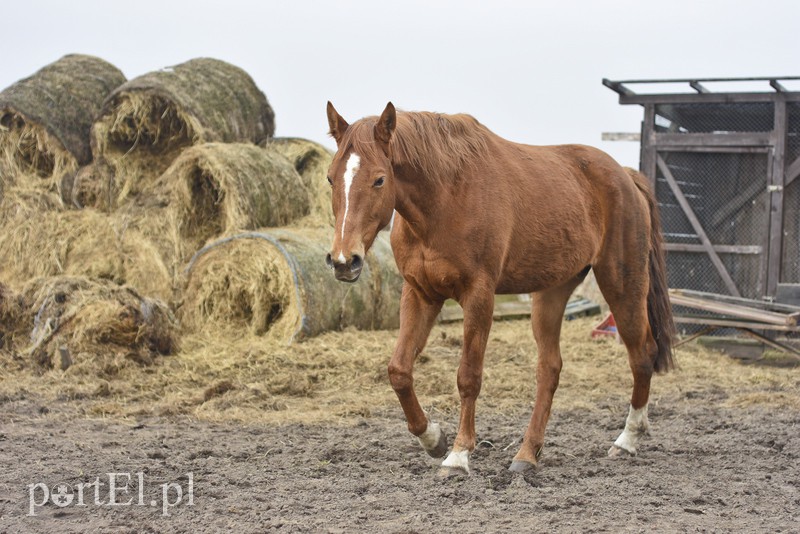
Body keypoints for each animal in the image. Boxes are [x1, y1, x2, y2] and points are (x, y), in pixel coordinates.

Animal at [322, 100, 672, 474]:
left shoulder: (479, 296)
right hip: (552, 292)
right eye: (330, 177)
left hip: (622, 284)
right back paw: (527, 453)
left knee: (642, 354)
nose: (344, 260)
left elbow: (468, 377)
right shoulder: (420, 294)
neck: (445, 196)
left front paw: (459, 454)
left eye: (379, 179)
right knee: (549, 369)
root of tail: (625, 176)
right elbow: (399, 371)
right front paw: (432, 438)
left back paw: (627, 440)